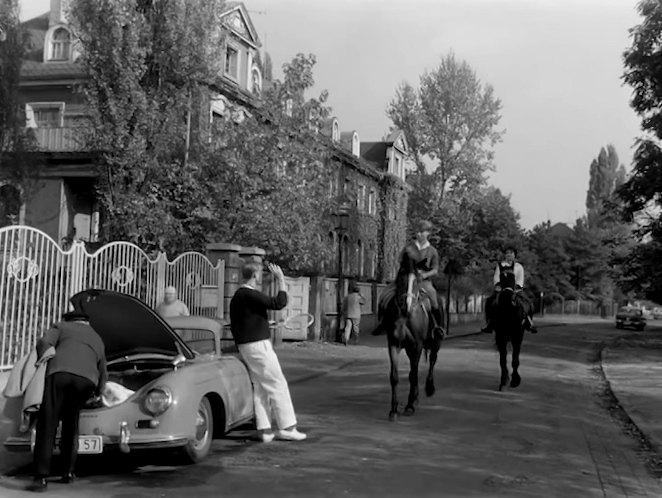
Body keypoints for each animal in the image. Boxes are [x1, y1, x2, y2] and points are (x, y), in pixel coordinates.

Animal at [378, 276, 446, 420]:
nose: (406, 304)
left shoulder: (417, 346)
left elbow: (413, 375)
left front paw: (409, 406)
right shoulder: (393, 345)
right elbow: (395, 376)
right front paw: (394, 410)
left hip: (436, 342)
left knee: (432, 360)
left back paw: (429, 388)